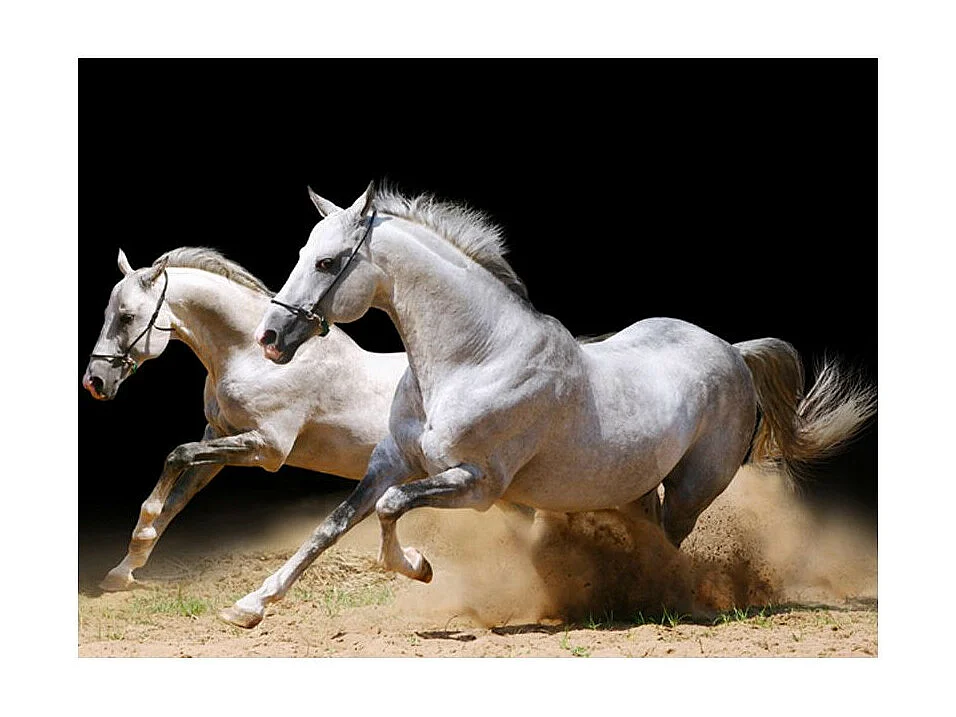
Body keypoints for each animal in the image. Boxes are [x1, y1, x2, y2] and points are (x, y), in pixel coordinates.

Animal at [82, 246, 409, 591]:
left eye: (127, 317)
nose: (94, 382)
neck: (254, 359)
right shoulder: (217, 436)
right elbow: (177, 498)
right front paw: (123, 570)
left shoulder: (268, 449)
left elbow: (177, 456)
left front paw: (142, 532)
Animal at [219, 181, 875, 629]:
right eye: (303, 252)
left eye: (327, 262)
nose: (270, 338)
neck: (474, 357)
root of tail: (733, 352)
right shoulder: (391, 462)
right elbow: (331, 526)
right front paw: (249, 606)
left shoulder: (478, 485)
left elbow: (389, 508)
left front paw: (420, 567)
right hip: (634, 486)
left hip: (693, 488)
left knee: (671, 543)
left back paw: (661, 599)